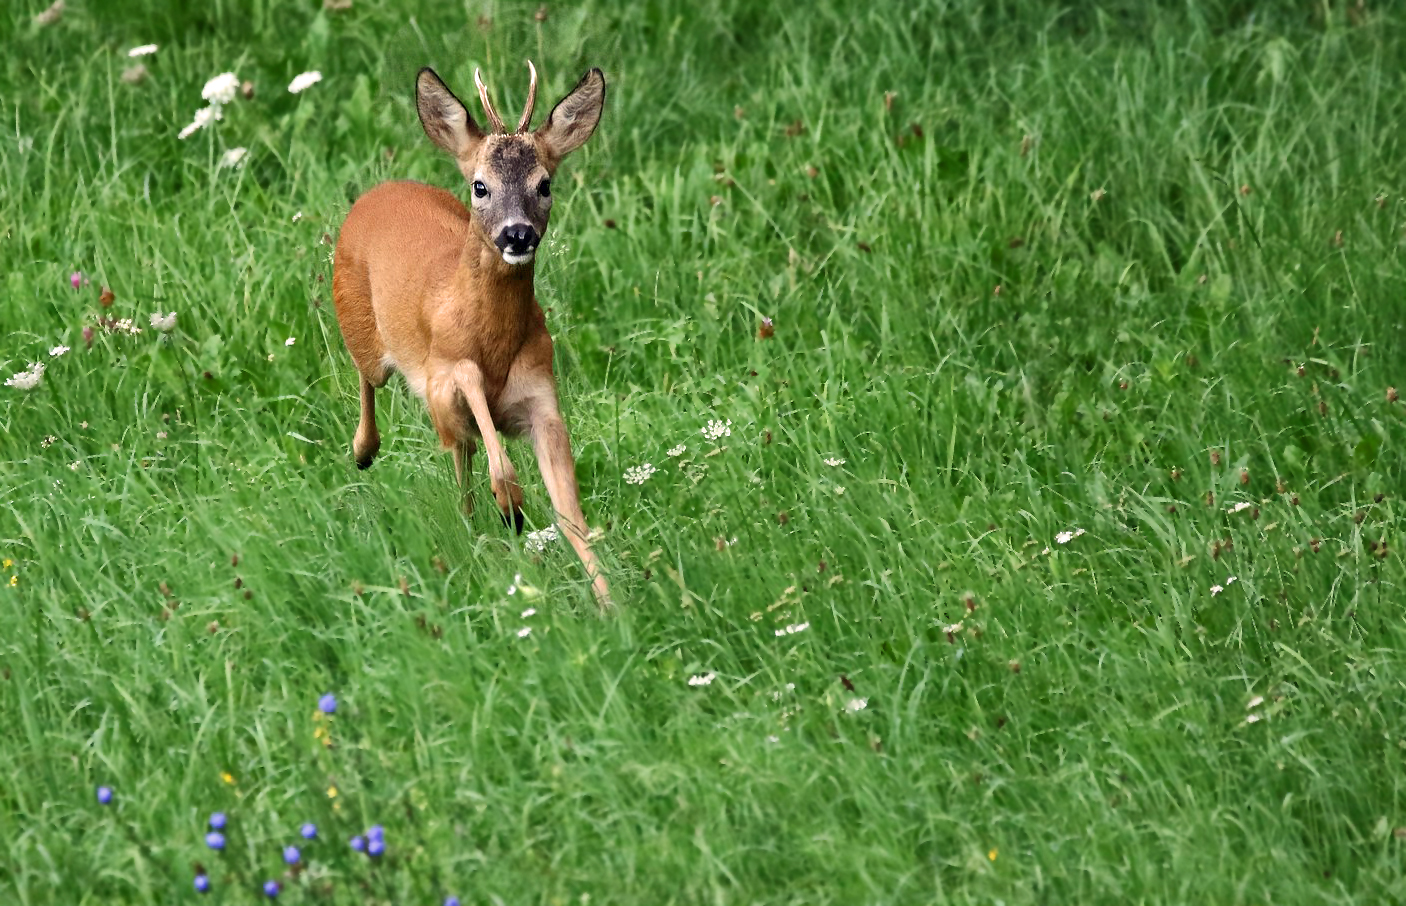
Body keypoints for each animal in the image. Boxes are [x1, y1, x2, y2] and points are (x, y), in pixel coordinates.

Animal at [334, 63, 615, 607]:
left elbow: (571, 515)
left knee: (459, 455)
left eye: (544, 184)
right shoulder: (441, 373)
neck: (495, 345)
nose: (517, 234)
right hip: (358, 323)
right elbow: (468, 386)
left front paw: (611, 601)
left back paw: (468, 520)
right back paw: (364, 451)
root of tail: (378, 192)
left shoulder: (541, 392)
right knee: (368, 379)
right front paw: (511, 506)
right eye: (480, 187)